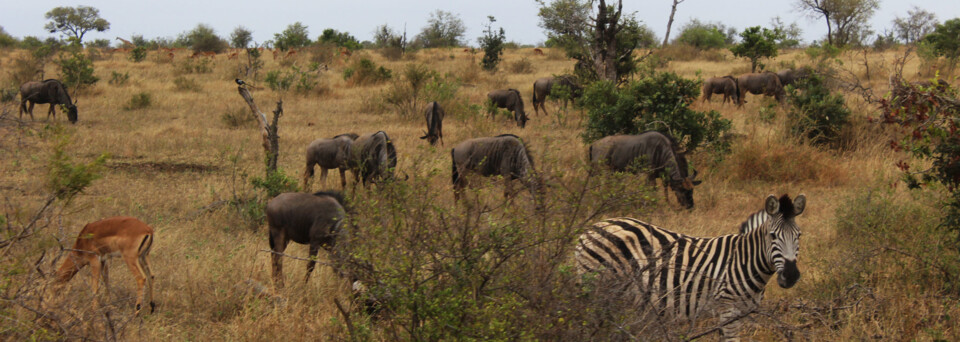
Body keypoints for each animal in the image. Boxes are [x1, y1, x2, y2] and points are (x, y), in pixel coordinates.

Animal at [572, 194, 808, 340]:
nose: (790, 275)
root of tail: (589, 230)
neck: (745, 260)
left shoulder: (734, 313)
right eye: (773, 236)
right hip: (598, 290)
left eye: (799, 235)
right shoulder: (728, 308)